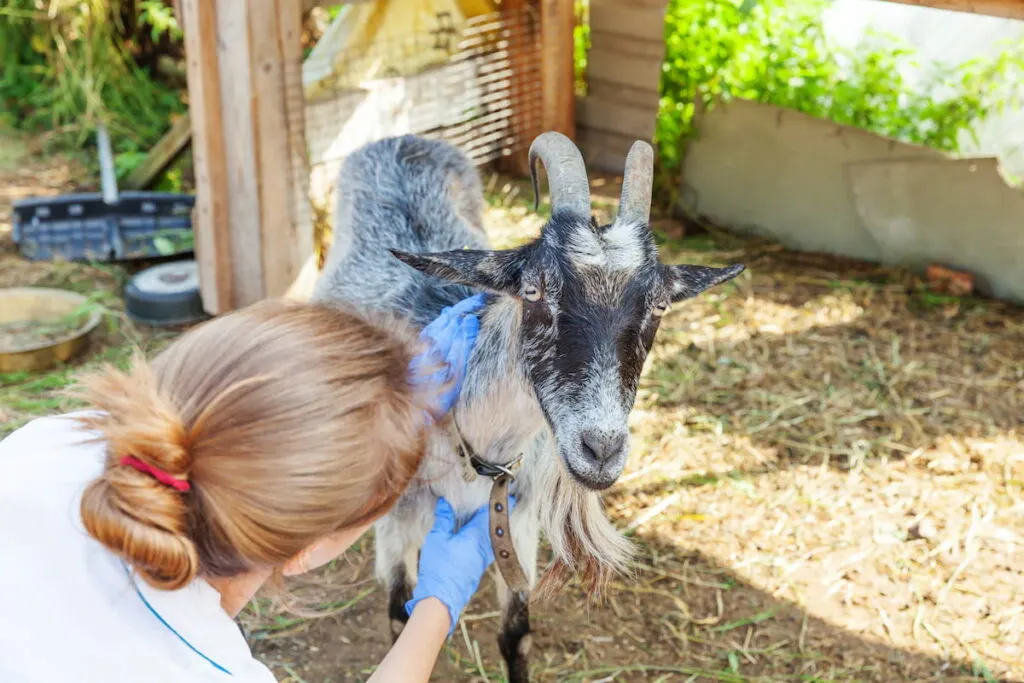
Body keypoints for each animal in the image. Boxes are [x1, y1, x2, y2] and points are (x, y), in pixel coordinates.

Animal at [311, 131, 745, 679]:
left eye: (661, 304)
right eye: (534, 291)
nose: (601, 450)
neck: (476, 448)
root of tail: (399, 138)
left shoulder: (513, 526)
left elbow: (515, 636)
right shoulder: (397, 525)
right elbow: (397, 620)